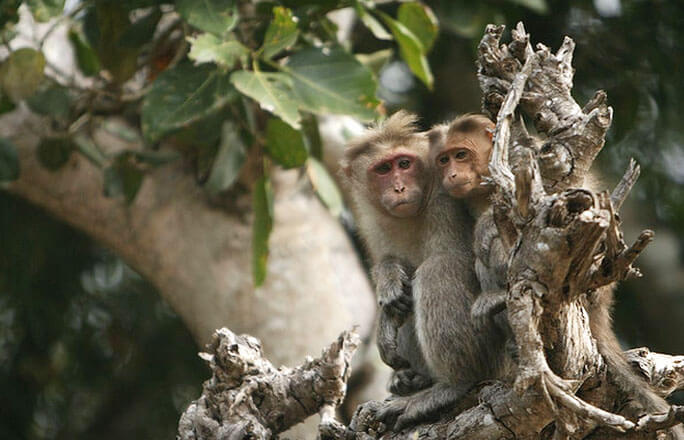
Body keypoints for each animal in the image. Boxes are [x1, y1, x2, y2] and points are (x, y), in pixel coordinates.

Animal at [431, 114, 683, 438]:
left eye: (461, 155)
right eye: (444, 159)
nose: (450, 173)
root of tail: (601, 306)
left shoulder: (524, 164)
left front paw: (488, 226)